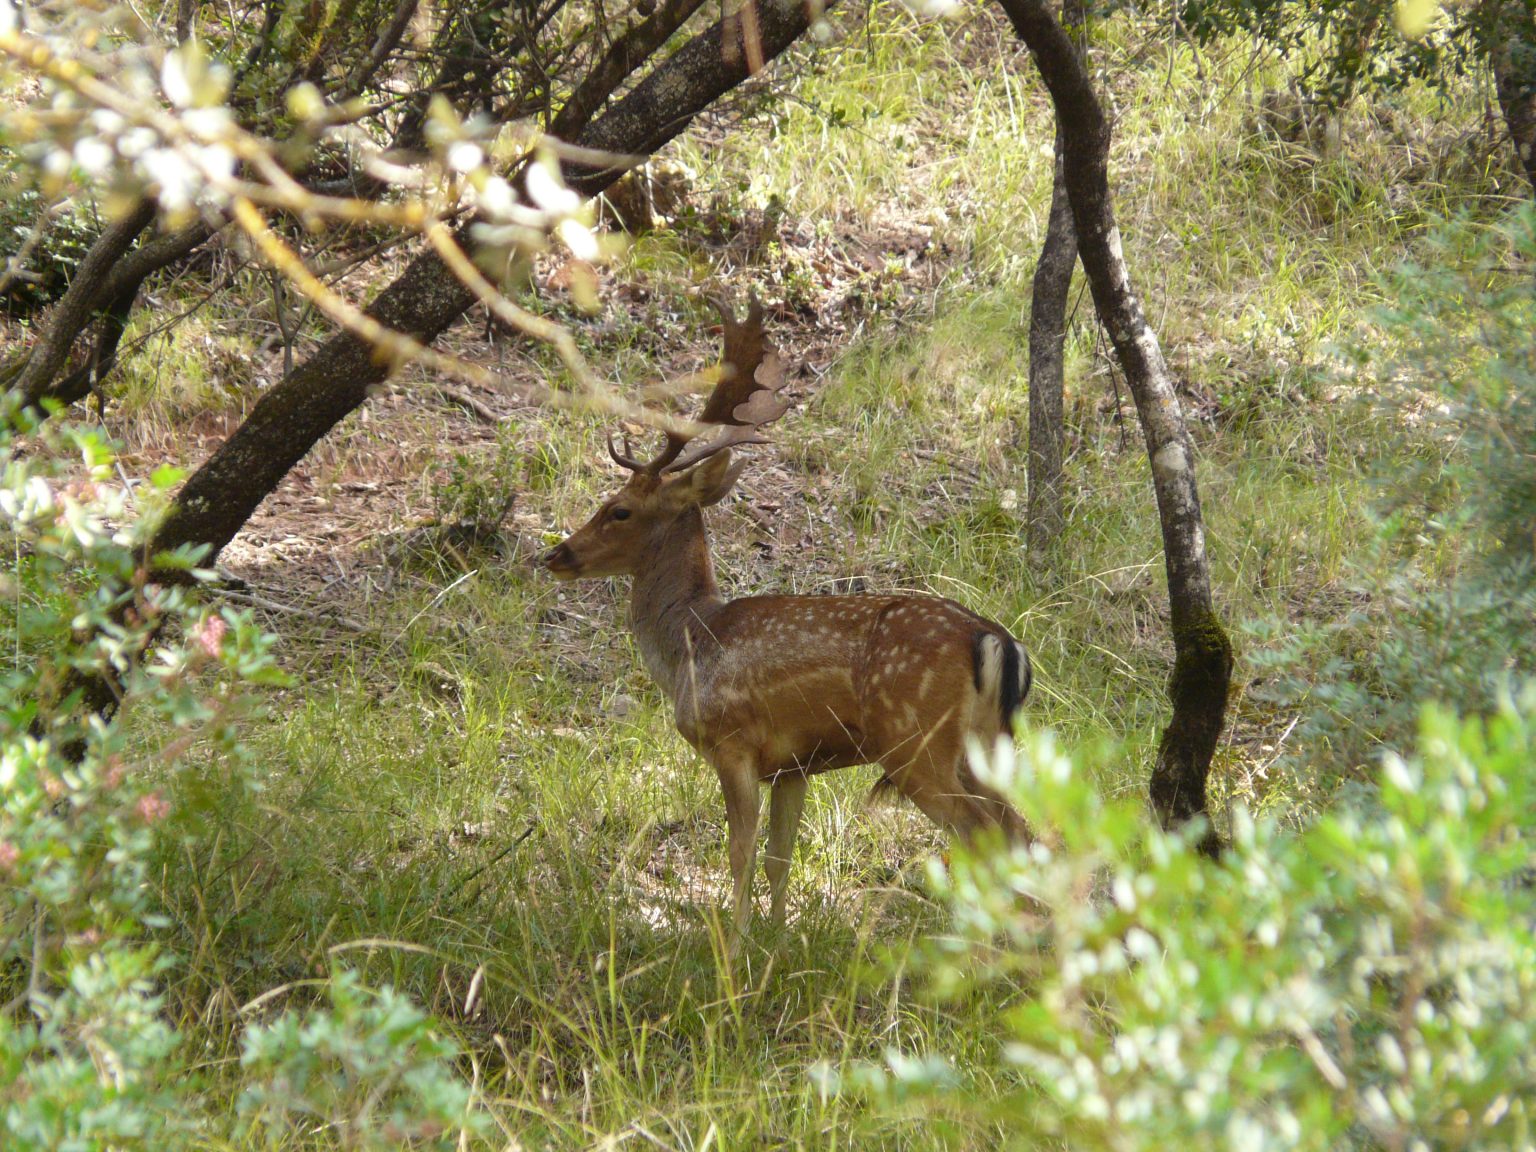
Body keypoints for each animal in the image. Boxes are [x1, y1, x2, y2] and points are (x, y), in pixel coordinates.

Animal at [543, 297, 1032, 946]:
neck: (691, 645)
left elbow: (741, 852)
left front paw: (733, 941)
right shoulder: (794, 764)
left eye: (618, 509)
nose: (556, 554)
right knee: (1023, 829)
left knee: (984, 831)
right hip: (986, 744)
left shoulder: (733, 742)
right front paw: (777, 938)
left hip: (916, 741)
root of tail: (995, 642)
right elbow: (780, 856)